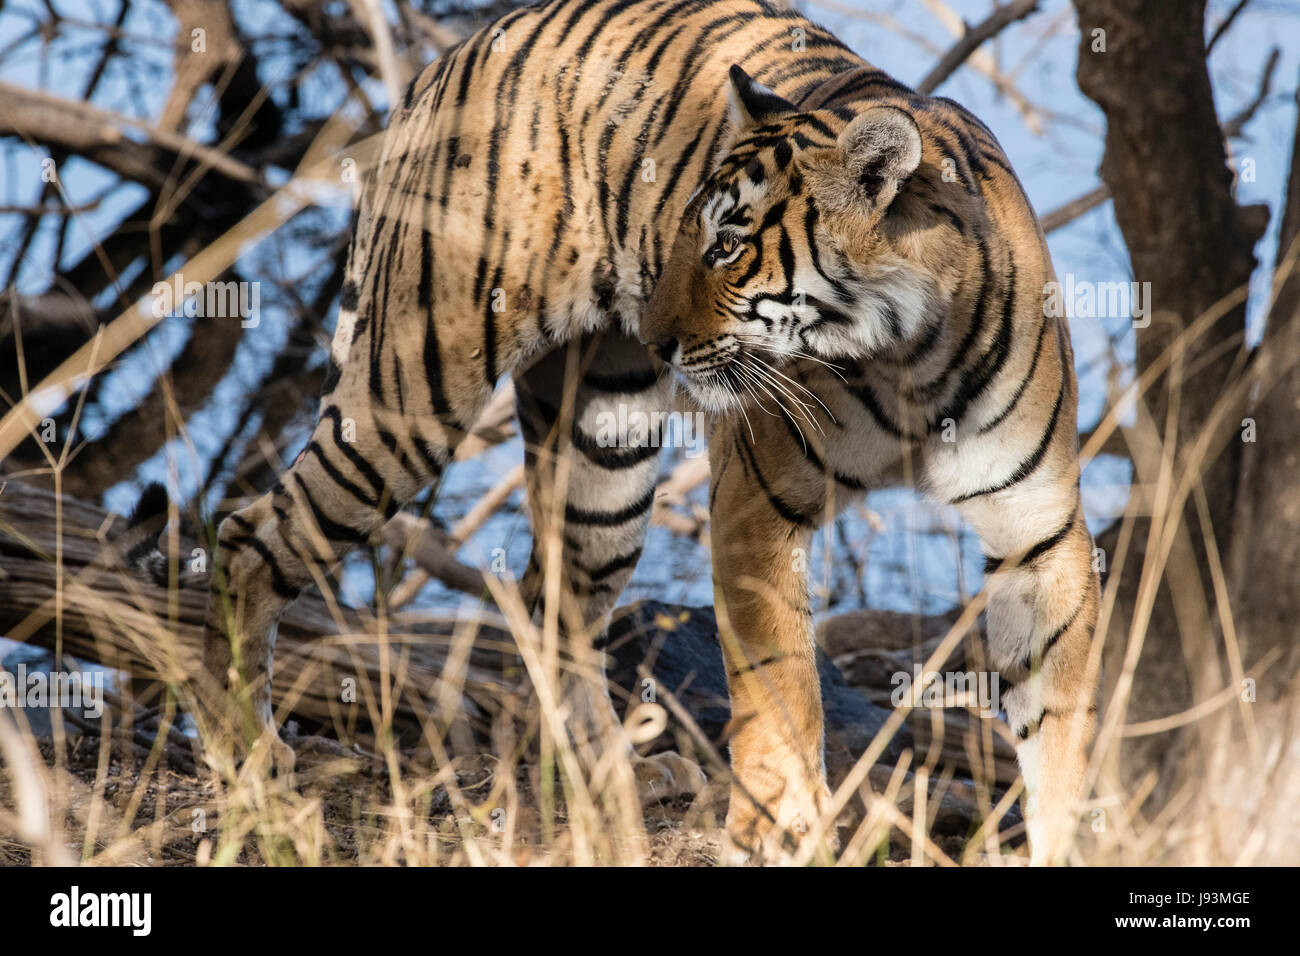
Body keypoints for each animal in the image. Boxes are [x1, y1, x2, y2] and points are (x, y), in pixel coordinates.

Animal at [157, 0, 1102, 868]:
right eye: (687, 229)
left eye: (729, 245)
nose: (654, 333)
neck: (909, 356)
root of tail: (462, 47)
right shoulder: (758, 503)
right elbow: (781, 685)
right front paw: (782, 826)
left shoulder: (1040, 534)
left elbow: (1058, 715)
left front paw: (1069, 838)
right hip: (411, 392)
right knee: (250, 534)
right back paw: (246, 754)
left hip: (603, 450)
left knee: (551, 600)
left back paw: (615, 776)